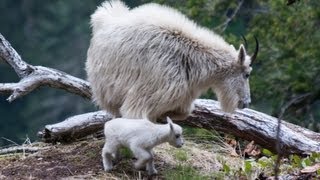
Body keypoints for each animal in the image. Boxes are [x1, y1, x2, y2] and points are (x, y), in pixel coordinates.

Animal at [86, 0, 258, 121]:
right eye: (247, 74)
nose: (246, 103)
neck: (191, 57)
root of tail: (102, 20)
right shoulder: (143, 97)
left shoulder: (182, 97)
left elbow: (183, 112)